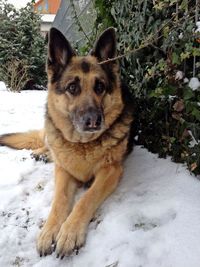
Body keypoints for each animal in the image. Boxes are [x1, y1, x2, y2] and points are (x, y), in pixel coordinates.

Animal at [0, 27, 134, 260]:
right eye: (72, 87)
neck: (83, 145)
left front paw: (69, 232)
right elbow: (60, 200)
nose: (94, 121)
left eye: (100, 87)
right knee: (48, 142)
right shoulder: (64, 170)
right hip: (51, 132)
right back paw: (42, 152)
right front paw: (48, 232)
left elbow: (86, 199)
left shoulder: (111, 170)